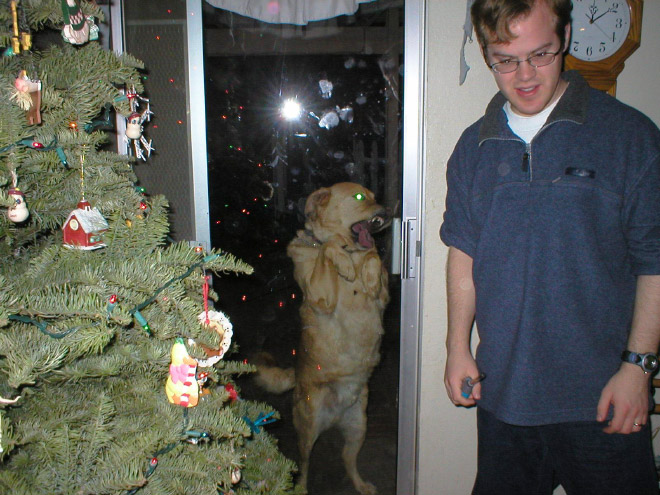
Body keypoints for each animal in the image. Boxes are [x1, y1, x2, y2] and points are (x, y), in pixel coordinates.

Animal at [255, 183, 392, 495]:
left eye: (374, 195)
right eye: (359, 197)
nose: (389, 212)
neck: (351, 250)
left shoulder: (383, 297)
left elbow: (373, 256)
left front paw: (366, 275)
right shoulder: (321, 298)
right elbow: (328, 250)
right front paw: (342, 262)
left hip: (359, 426)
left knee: (347, 459)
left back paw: (361, 485)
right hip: (308, 429)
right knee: (304, 465)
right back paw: (300, 488)